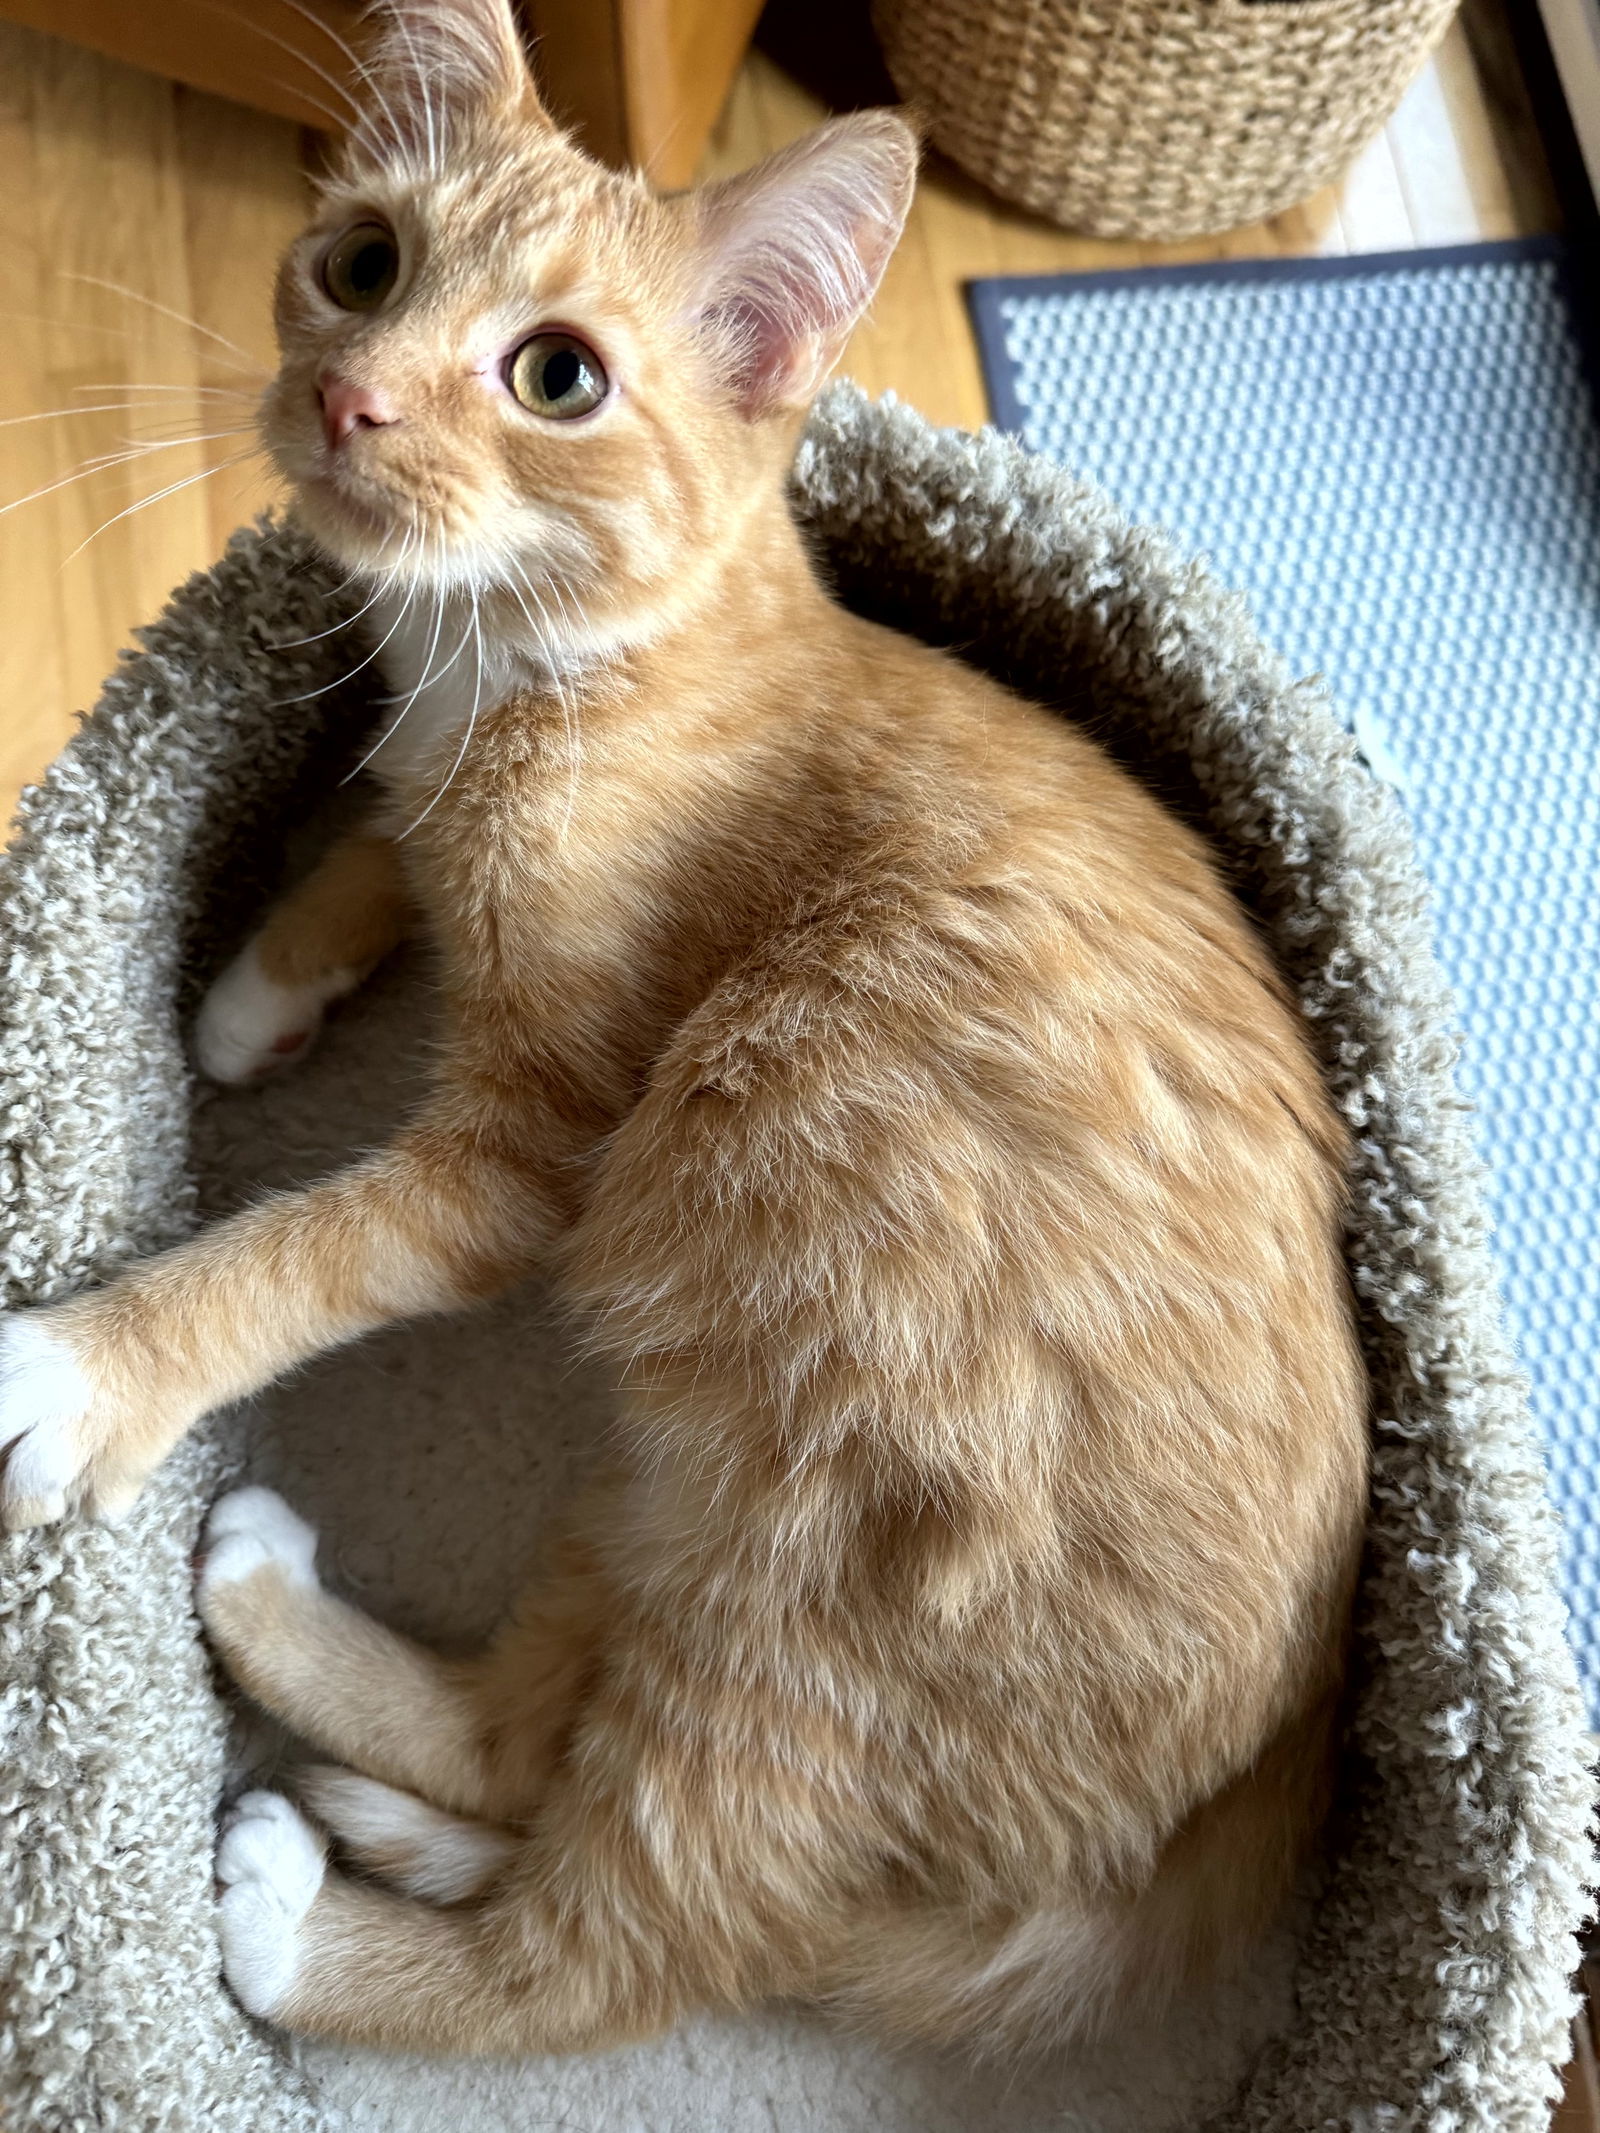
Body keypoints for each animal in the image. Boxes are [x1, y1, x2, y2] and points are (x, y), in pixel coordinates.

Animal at [0, 0, 1373, 2064]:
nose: (351, 402)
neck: (533, 667)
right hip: (667, 1496)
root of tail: (1256, 1789)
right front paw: (257, 984)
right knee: (530, 1745)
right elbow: (382, 831)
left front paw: (87, 1365)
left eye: (555, 376)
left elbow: (294, 1249)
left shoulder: (530, 1157)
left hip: (801, 1600)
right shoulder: (425, 783)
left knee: (620, 1944)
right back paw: (307, 1676)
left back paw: (299, 1921)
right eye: (364, 264)